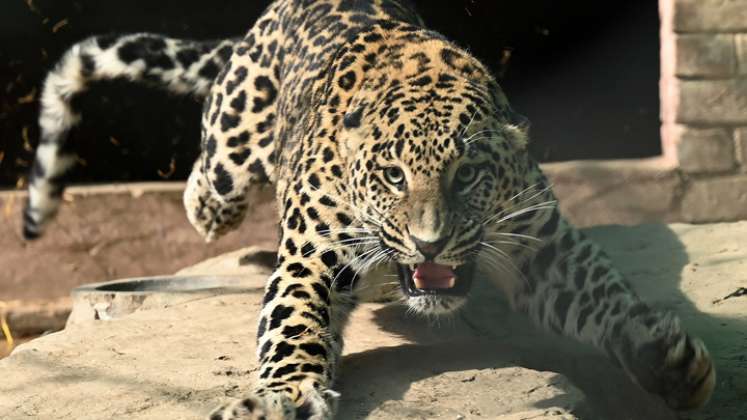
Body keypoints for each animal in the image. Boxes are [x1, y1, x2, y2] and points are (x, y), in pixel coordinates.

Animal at [23, 1, 716, 418]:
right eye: (392, 175)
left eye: (467, 176)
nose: (431, 243)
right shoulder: (311, 257)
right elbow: (294, 326)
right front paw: (284, 397)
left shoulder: (540, 243)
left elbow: (603, 294)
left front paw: (665, 361)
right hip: (230, 147)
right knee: (207, 185)